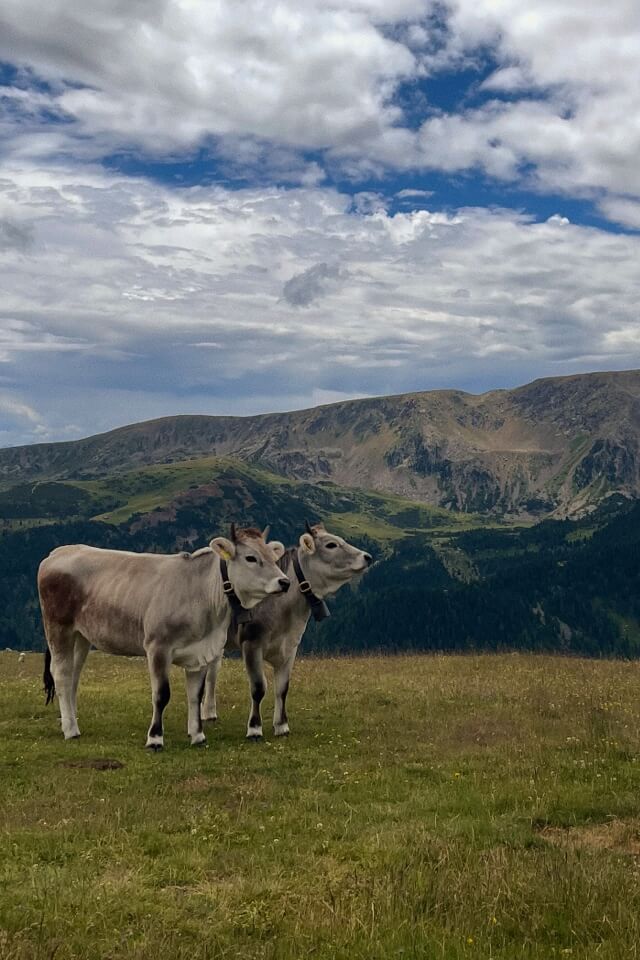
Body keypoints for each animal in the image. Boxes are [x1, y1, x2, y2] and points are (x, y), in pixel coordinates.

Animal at [38, 525, 290, 749]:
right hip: (58, 627)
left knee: (73, 676)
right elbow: (161, 694)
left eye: (273, 557)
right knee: (61, 674)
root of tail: (58, 552)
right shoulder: (158, 647)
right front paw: (155, 738)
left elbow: (195, 695)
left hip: (81, 636)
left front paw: (198, 735)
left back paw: (70, 721)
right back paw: (71, 730)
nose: (285, 582)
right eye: (251, 558)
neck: (200, 594)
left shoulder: (200, 651)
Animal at [202, 522, 372, 739]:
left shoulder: (290, 647)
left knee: (212, 672)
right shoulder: (251, 643)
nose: (367, 556)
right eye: (331, 544)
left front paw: (282, 726)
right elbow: (258, 688)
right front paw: (254, 728)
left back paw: (208, 713)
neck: (283, 611)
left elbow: (282, 688)